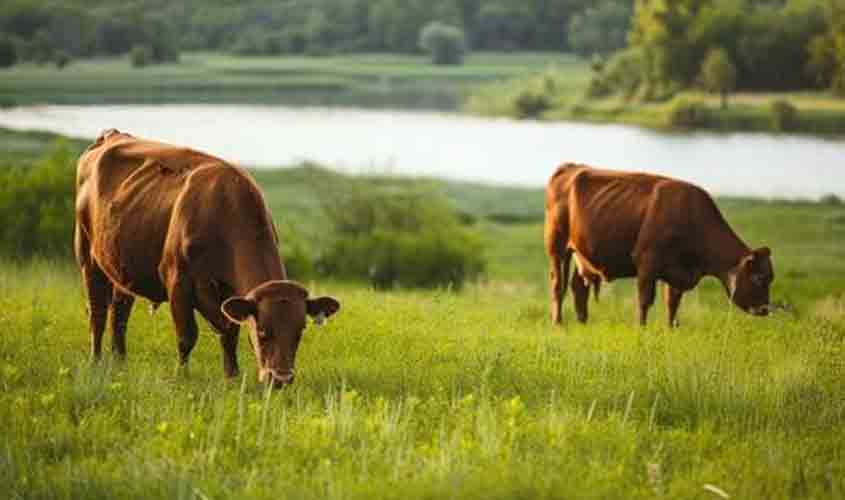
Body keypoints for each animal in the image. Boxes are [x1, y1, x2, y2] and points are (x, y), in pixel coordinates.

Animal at [75, 130, 340, 386]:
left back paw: (120, 362)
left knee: (119, 315)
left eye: (299, 331)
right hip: (88, 257)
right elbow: (187, 336)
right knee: (98, 313)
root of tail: (112, 135)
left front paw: (231, 375)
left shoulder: (230, 295)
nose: (281, 379)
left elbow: (229, 333)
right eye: (263, 331)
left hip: (122, 268)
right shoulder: (177, 281)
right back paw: (95, 362)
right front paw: (182, 376)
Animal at [544, 163, 776, 328]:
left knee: (578, 286)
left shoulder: (678, 271)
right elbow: (645, 300)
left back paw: (583, 322)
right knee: (557, 286)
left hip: (581, 253)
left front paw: (671, 328)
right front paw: (642, 328)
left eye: (770, 277)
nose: (764, 309)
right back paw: (558, 324)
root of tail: (570, 167)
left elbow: (672, 303)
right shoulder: (647, 263)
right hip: (557, 247)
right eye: (758, 277)